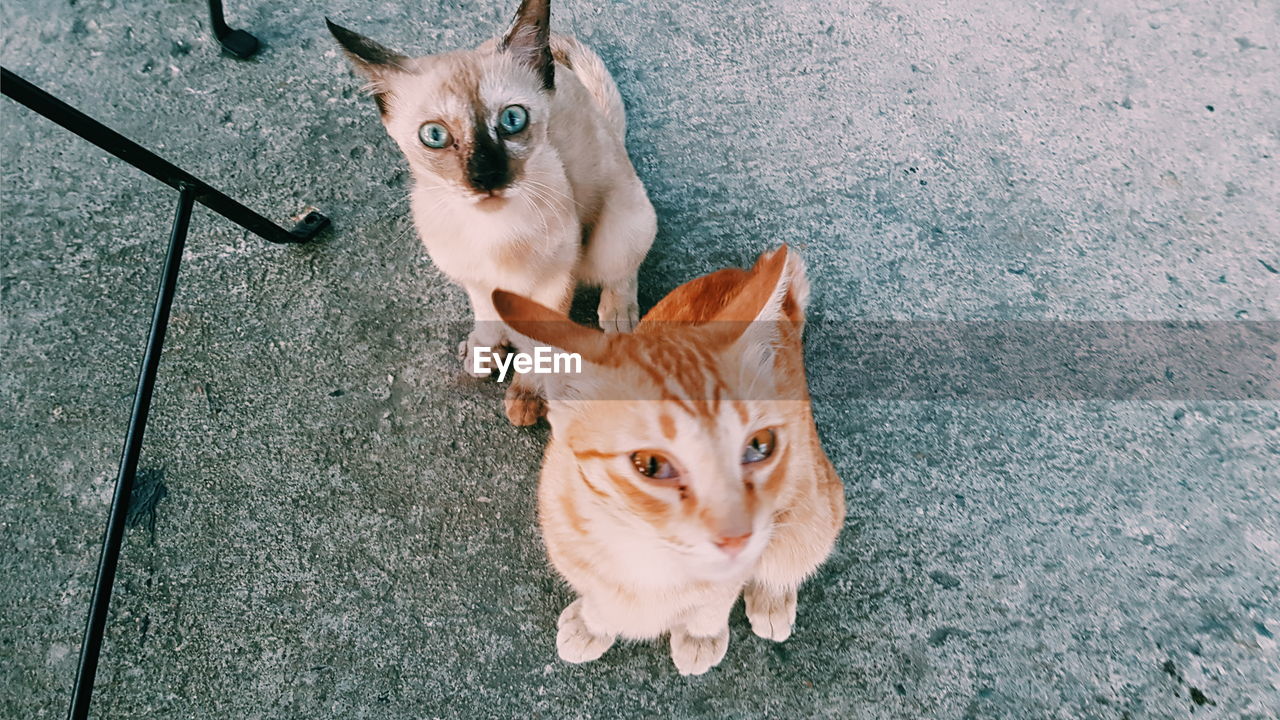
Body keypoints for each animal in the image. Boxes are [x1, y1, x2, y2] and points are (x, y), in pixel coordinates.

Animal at [330, 0, 655, 422]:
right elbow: (486, 312)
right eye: (434, 135)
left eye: (512, 119)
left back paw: (619, 314)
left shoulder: (549, 288)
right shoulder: (475, 277)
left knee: (621, 268)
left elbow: (538, 348)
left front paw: (527, 395)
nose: (485, 177)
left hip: (612, 232)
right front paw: (488, 348)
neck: (490, 232)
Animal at [494, 244, 844, 671]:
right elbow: (600, 595)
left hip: (816, 506)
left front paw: (701, 634)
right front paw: (595, 622)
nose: (736, 537)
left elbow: (715, 599)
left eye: (759, 446)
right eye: (651, 465)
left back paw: (772, 597)